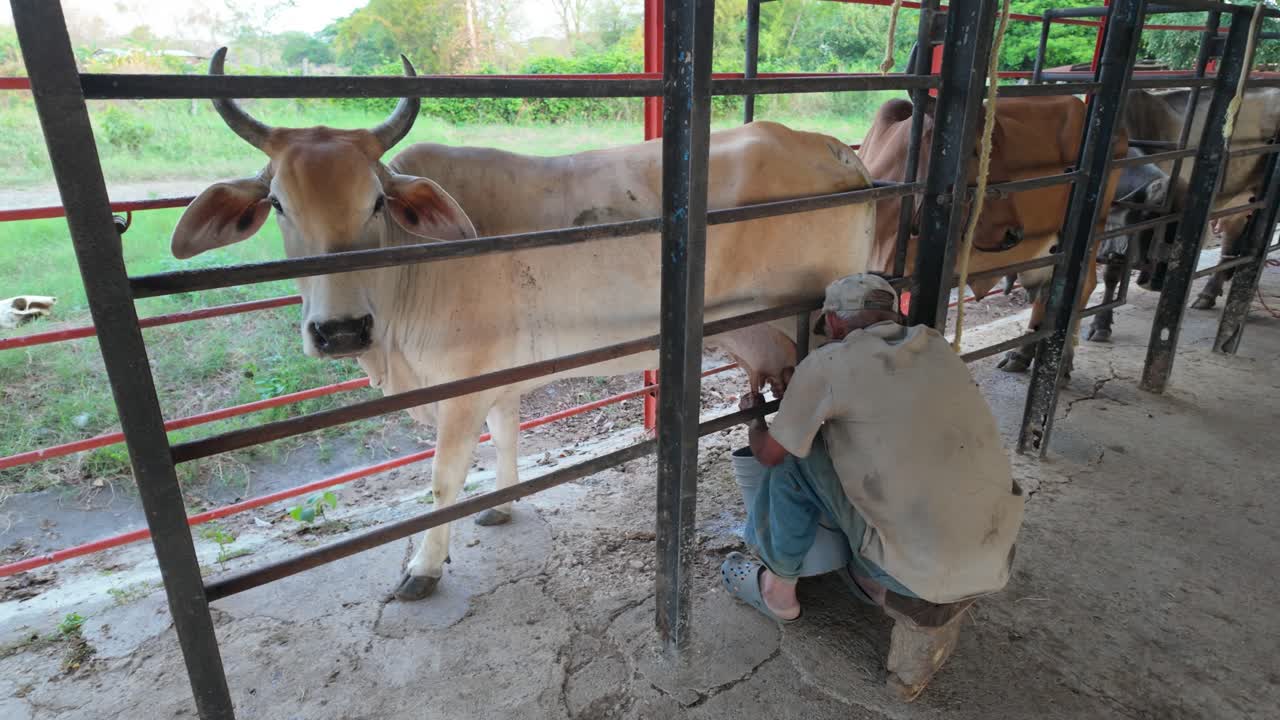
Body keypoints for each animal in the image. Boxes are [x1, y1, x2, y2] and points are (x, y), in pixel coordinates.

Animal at [172, 50, 878, 601]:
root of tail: (837, 152)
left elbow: (444, 480)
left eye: (375, 204)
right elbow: (506, 438)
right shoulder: (500, 375)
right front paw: (501, 505)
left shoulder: (457, 389)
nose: (341, 329)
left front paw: (424, 566)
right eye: (278, 204)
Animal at [858, 96, 1128, 375]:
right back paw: (1022, 355)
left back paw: (1064, 359)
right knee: (1048, 291)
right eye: (976, 150)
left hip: (1093, 225)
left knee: (1083, 285)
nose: (1013, 234)